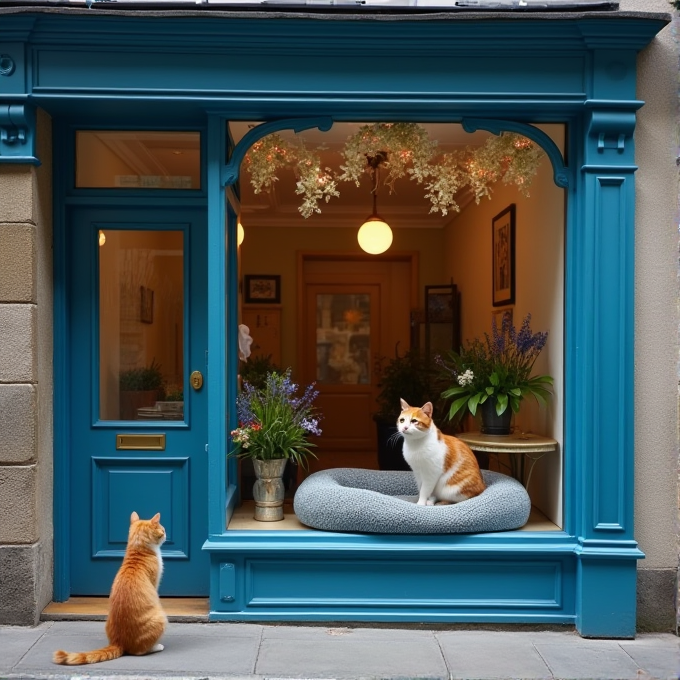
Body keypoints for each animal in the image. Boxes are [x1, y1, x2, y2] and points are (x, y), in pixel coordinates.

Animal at [53, 510, 168, 664]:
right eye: (163, 530)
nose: (166, 534)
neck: (138, 550)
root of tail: (119, 642)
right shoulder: (155, 583)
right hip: (160, 617)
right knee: (139, 651)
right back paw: (156, 646)